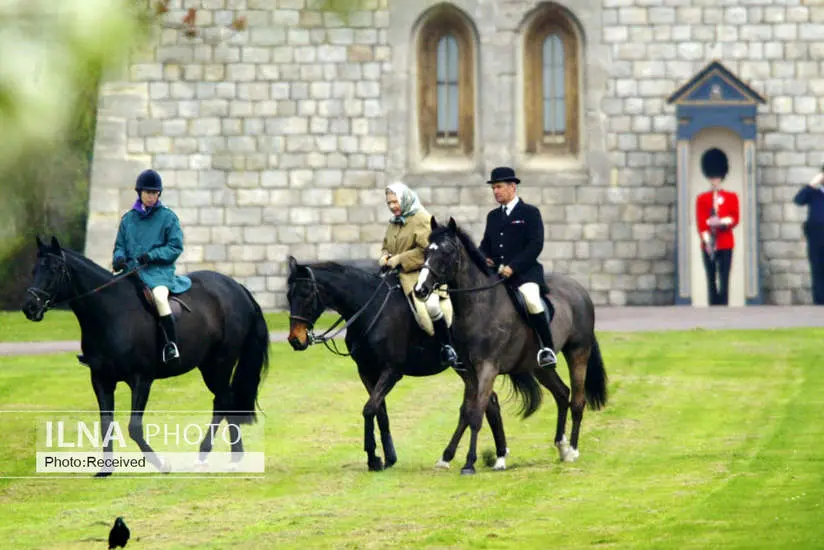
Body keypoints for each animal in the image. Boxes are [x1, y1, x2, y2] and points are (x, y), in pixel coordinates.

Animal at [22, 239, 268, 476]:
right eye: (34, 269)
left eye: (55, 268)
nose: (30, 307)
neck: (111, 312)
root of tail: (236, 286)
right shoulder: (101, 379)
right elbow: (105, 424)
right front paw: (105, 469)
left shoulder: (141, 380)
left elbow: (134, 427)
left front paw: (162, 464)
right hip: (208, 365)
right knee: (224, 400)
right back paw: (224, 456)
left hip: (221, 363)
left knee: (224, 401)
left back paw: (221, 456)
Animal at [286, 258, 512, 474]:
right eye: (289, 296)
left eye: (306, 295)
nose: (295, 340)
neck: (372, 309)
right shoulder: (367, 371)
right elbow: (380, 411)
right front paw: (388, 458)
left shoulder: (392, 371)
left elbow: (369, 409)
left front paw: (373, 459)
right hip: (465, 369)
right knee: (488, 402)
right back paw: (483, 455)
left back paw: (488, 457)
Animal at [416, 218, 608, 476]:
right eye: (427, 251)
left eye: (447, 251)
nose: (420, 290)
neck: (478, 306)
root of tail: (579, 290)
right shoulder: (470, 371)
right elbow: (468, 411)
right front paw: (448, 457)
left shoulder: (487, 368)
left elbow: (476, 413)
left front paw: (469, 463)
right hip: (538, 366)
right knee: (561, 393)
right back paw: (561, 446)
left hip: (578, 352)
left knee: (577, 400)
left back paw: (572, 451)